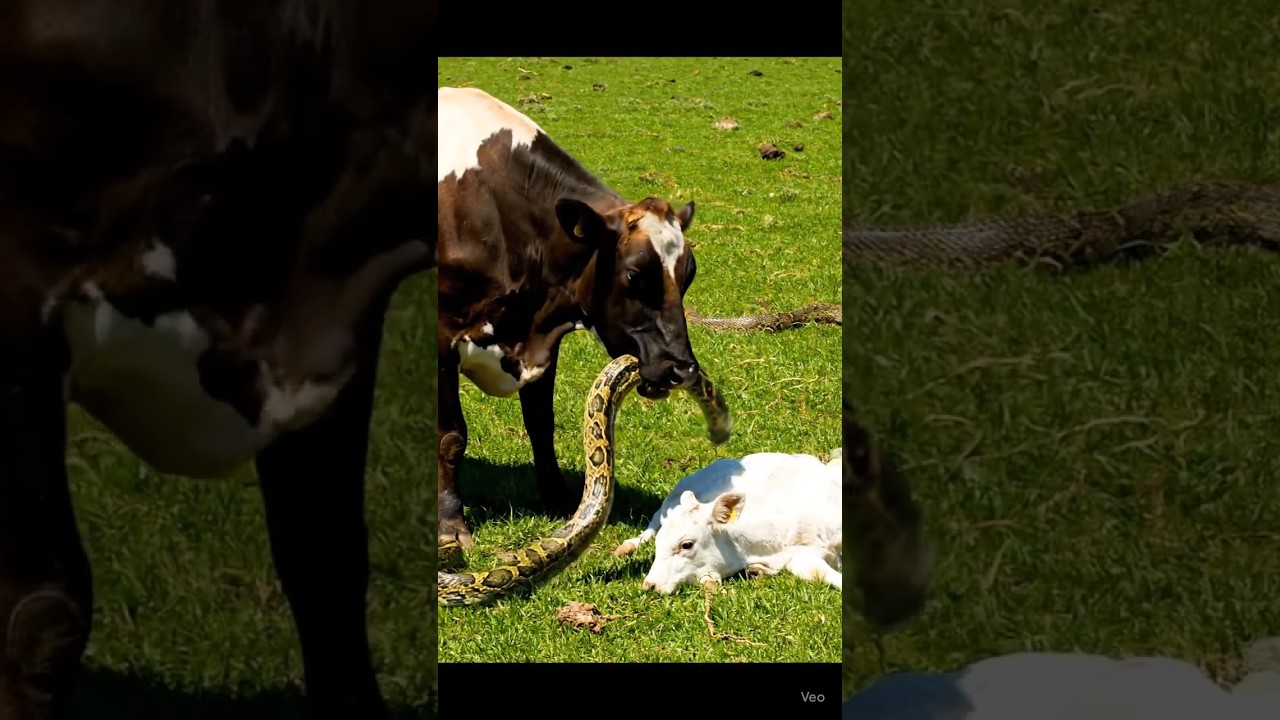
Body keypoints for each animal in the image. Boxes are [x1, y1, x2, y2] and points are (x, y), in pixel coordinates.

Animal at [436, 86, 702, 550]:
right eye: (635, 274)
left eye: (690, 273)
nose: (681, 369)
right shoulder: (441, 335)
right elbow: (451, 435)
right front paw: (451, 522)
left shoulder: (545, 336)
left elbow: (541, 421)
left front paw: (558, 498)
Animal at [614, 451, 844, 594]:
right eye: (659, 545)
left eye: (686, 545)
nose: (650, 585)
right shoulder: (799, 557)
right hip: (675, 496)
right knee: (655, 516)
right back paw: (629, 545)